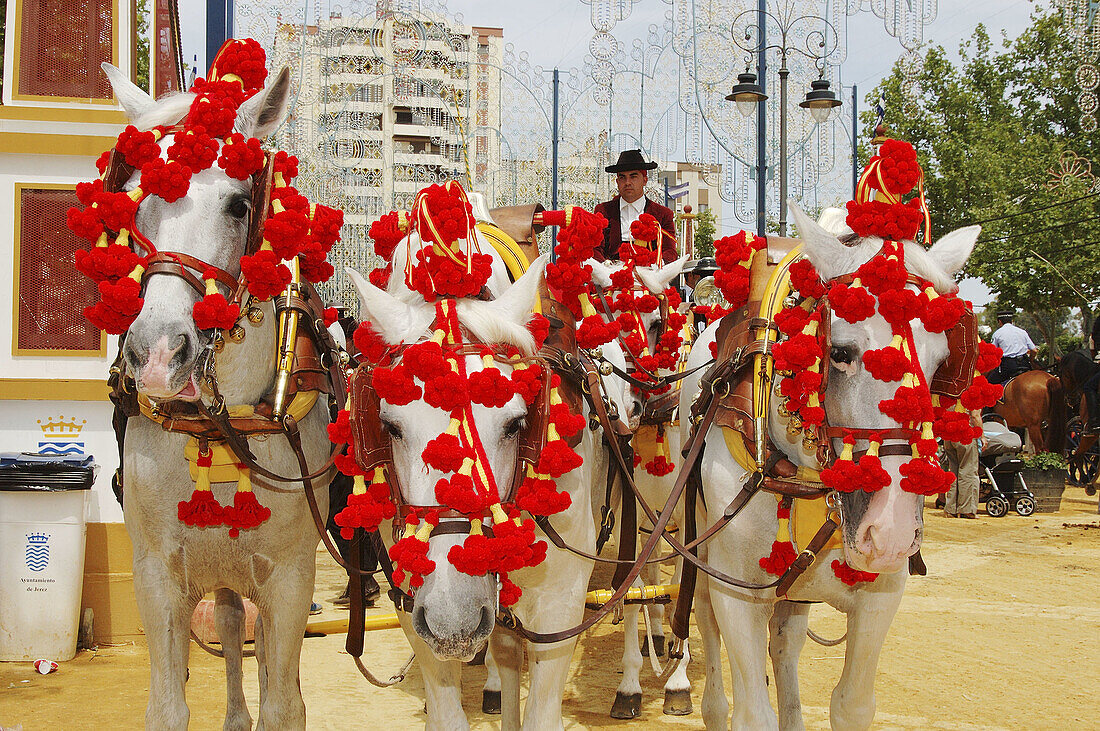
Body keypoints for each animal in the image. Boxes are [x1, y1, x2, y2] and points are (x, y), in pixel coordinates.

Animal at [103, 65, 330, 725]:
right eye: (138, 202)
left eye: (238, 202)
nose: (157, 353)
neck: (221, 428)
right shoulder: (156, 576)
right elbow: (167, 708)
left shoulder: (290, 578)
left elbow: (283, 706)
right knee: (230, 627)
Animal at [349, 228, 607, 725]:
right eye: (390, 426)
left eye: (516, 423)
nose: (456, 619)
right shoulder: (414, 608)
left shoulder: (561, 606)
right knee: (505, 648)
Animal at [682, 205, 985, 729]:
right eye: (839, 352)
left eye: (944, 360)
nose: (889, 532)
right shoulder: (736, 593)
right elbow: (752, 712)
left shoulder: (882, 593)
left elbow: (852, 703)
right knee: (705, 625)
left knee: (786, 644)